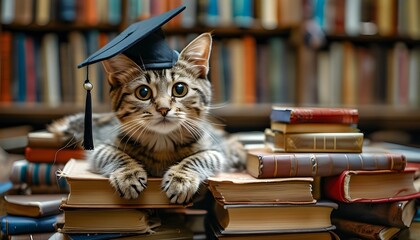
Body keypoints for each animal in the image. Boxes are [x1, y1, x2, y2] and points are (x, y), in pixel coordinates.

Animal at [49, 32, 246, 203]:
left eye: (180, 89)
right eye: (143, 92)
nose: (164, 108)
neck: (162, 142)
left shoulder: (216, 150)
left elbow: (201, 157)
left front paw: (180, 179)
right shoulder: (101, 145)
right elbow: (113, 154)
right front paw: (129, 174)